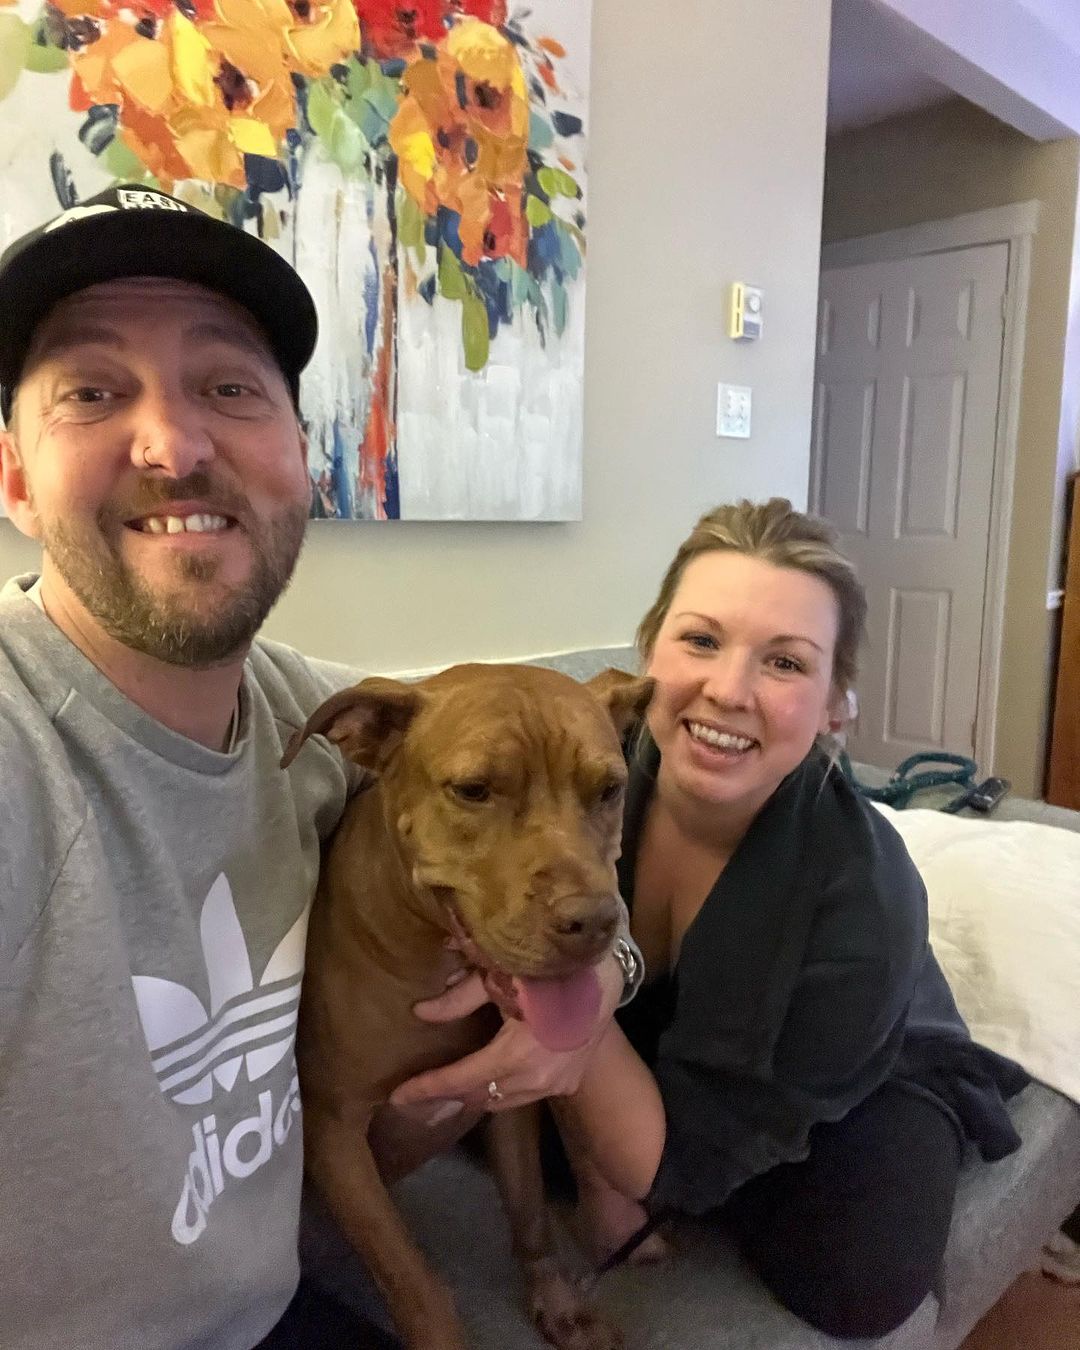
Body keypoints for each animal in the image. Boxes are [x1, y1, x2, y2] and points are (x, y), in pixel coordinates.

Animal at [280, 664, 650, 1350]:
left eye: (610, 789)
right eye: (473, 790)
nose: (595, 922)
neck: (433, 960)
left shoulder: (508, 1101)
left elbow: (529, 1212)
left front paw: (560, 1308)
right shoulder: (335, 1135)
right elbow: (411, 1278)